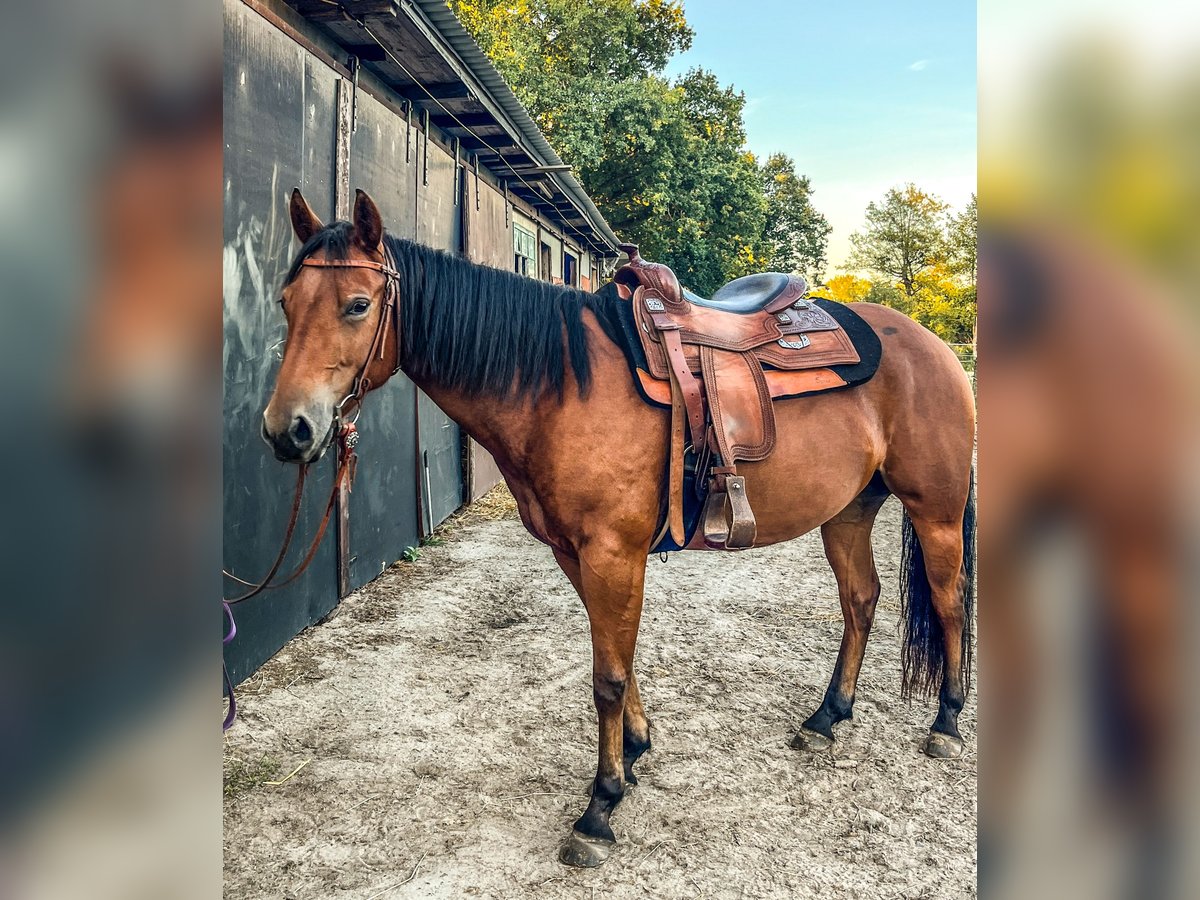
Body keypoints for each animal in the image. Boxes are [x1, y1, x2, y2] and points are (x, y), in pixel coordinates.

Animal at [261, 187, 977, 868]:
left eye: (358, 305)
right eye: (286, 301)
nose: (286, 429)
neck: (557, 388)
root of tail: (933, 344)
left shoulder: (612, 554)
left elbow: (605, 675)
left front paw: (599, 807)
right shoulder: (575, 554)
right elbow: (620, 663)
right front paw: (633, 752)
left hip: (935, 512)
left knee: (949, 602)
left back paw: (945, 722)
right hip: (848, 512)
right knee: (861, 601)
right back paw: (828, 717)